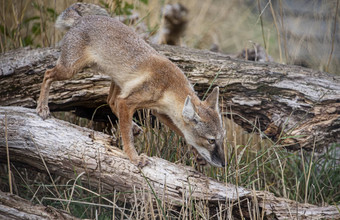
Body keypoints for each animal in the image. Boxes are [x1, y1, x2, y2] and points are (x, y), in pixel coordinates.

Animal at [36, 2, 226, 168]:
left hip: (117, 82)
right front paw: (134, 158)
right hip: (70, 70)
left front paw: (197, 154)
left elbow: (182, 132)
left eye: (222, 139)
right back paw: (42, 108)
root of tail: (80, 19)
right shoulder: (128, 102)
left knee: (111, 101)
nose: (224, 164)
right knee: (47, 74)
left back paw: (133, 126)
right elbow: (127, 137)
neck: (168, 85)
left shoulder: (160, 112)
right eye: (211, 140)